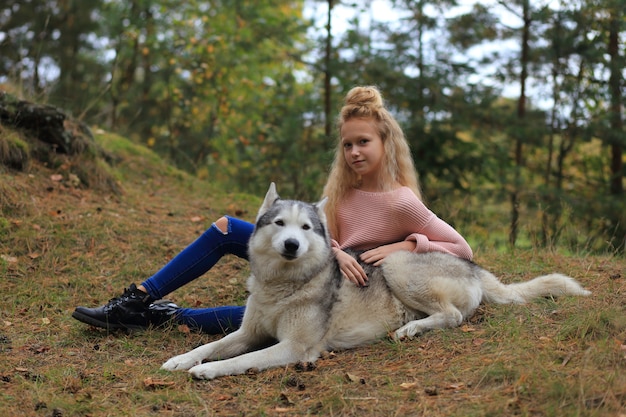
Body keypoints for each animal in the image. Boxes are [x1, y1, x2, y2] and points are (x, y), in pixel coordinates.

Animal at [160, 182, 584, 376]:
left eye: (306, 228)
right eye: (279, 224)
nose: (292, 244)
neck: (283, 285)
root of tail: (472, 264)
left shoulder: (295, 348)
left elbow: (237, 360)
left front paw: (205, 371)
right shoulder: (248, 332)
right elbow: (213, 345)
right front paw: (182, 359)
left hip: (397, 265)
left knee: (453, 316)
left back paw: (411, 330)